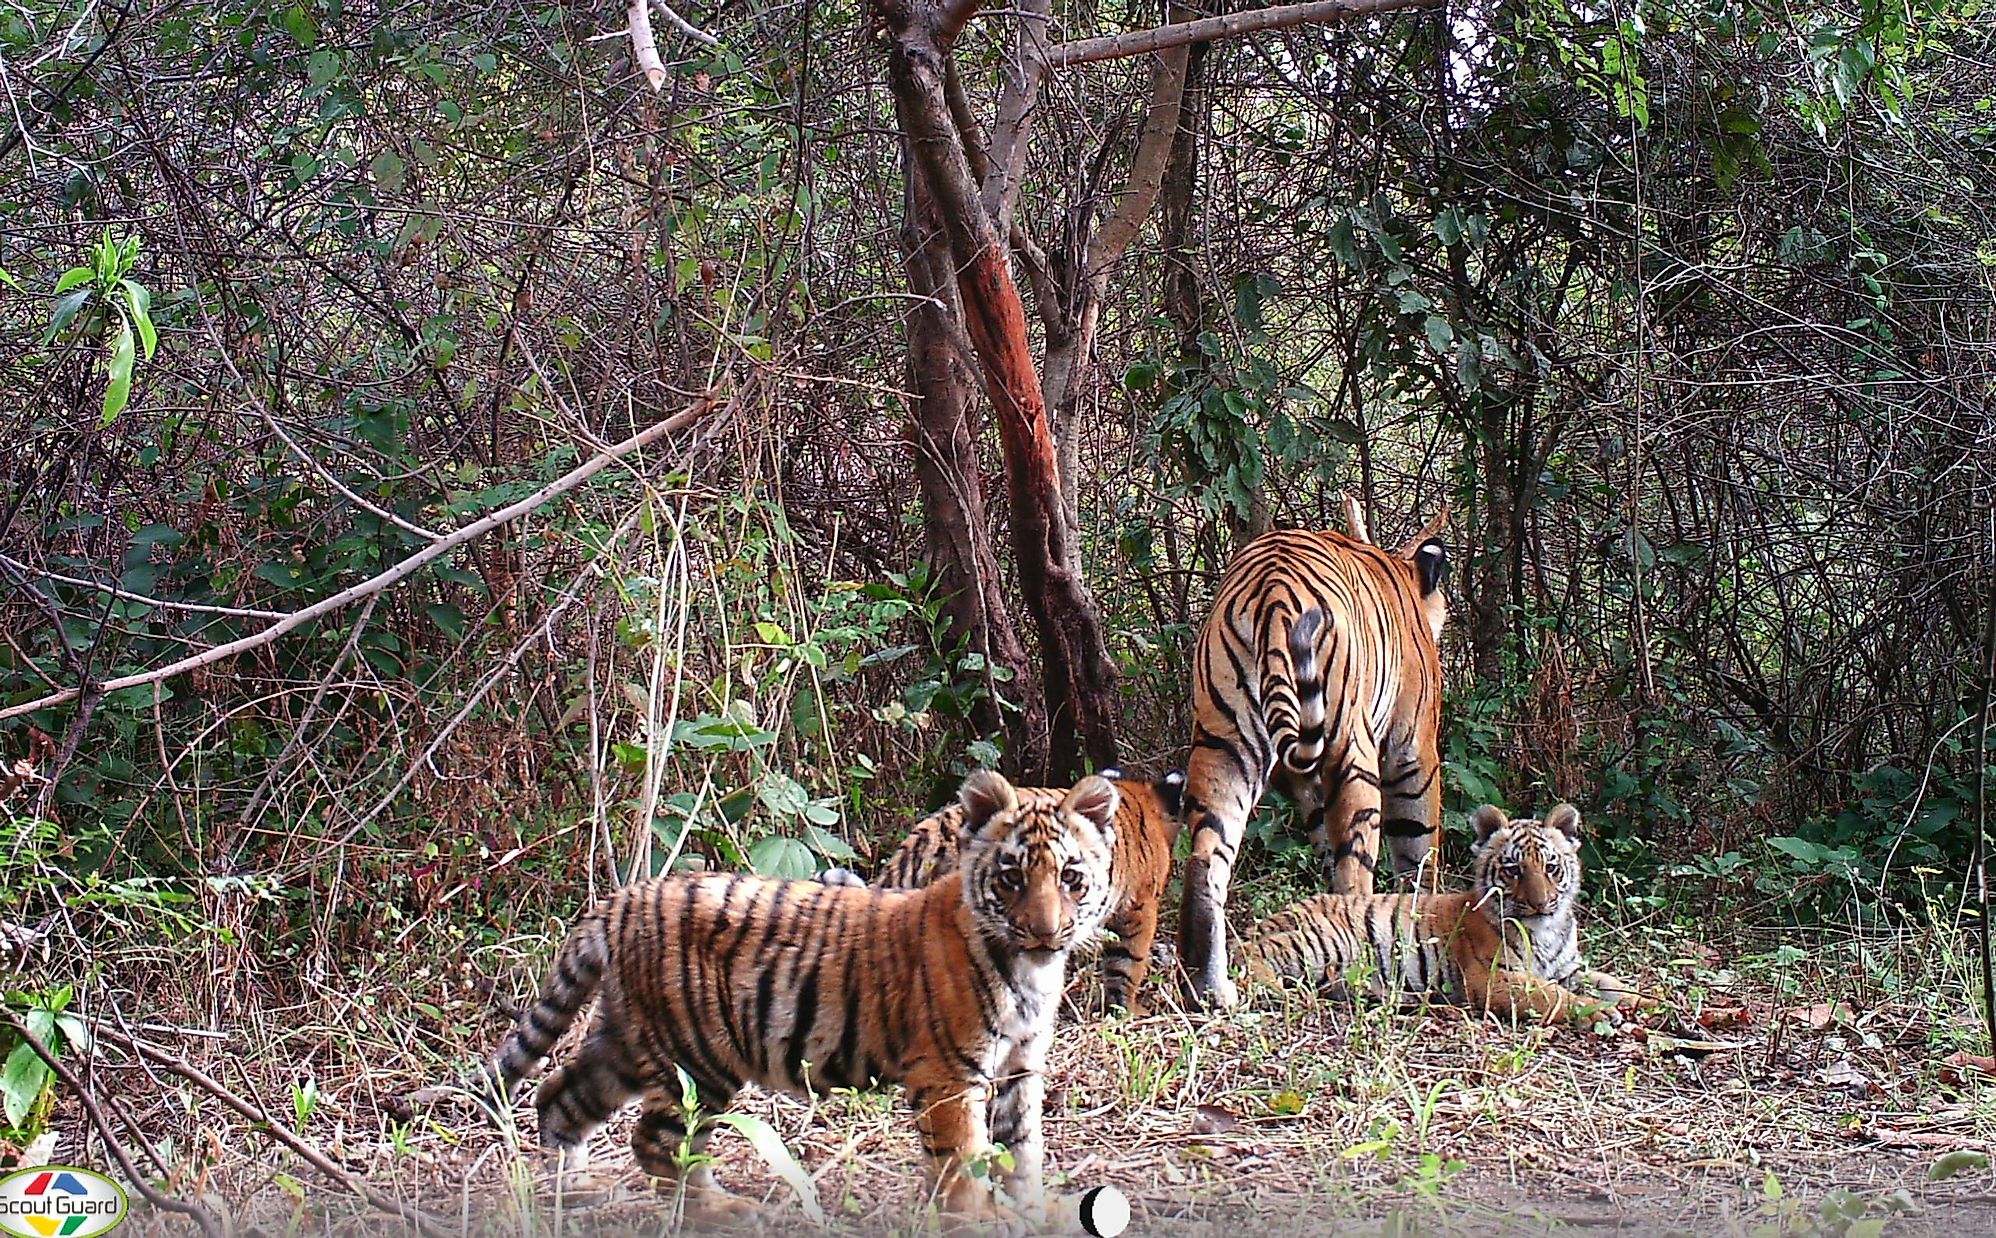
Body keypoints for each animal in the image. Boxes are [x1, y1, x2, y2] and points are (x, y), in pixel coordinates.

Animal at [475, 770, 1117, 1222]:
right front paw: (979, 1219)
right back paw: (726, 1212)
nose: (1046, 931)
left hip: (629, 1040)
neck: (1031, 971)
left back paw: (574, 1192)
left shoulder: (1021, 1065)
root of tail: (621, 902)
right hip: (696, 1059)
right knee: (657, 1144)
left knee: (560, 1098)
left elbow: (1022, 1147)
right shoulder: (950, 1074)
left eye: (1070, 877)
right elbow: (963, 1162)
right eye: (1011, 877)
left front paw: (1031, 1211)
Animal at [1173, 507, 1445, 1010]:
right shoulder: (1412, 751)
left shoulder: (1301, 782)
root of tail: (1272, 592)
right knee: (1358, 865)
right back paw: (1363, 972)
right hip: (1352, 752)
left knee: (1205, 859)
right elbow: (1418, 849)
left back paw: (1208, 988)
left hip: (1223, 747)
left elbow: (1323, 841)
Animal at [1237, 806, 1644, 1022]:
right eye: (1513, 870)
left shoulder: (1570, 969)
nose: (1541, 904)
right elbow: (1549, 995)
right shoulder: (1491, 977)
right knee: (1250, 958)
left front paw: (1654, 1003)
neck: (1546, 932)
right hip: (1318, 940)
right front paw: (1596, 1012)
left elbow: (1617, 985)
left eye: (1552, 867)